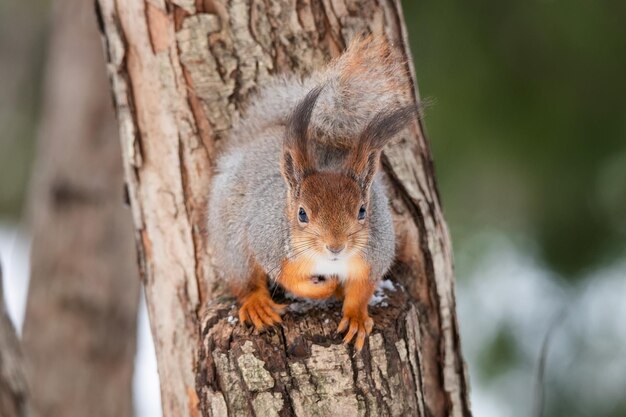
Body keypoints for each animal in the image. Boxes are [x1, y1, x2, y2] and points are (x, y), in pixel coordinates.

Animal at [207, 34, 414, 350]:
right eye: (302, 214)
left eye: (362, 211)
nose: (335, 247)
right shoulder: (270, 243)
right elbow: (289, 279)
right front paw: (324, 288)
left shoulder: (374, 254)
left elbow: (362, 289)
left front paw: (355, 315)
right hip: (231, 238)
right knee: (243, 278)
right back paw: (257, 304)